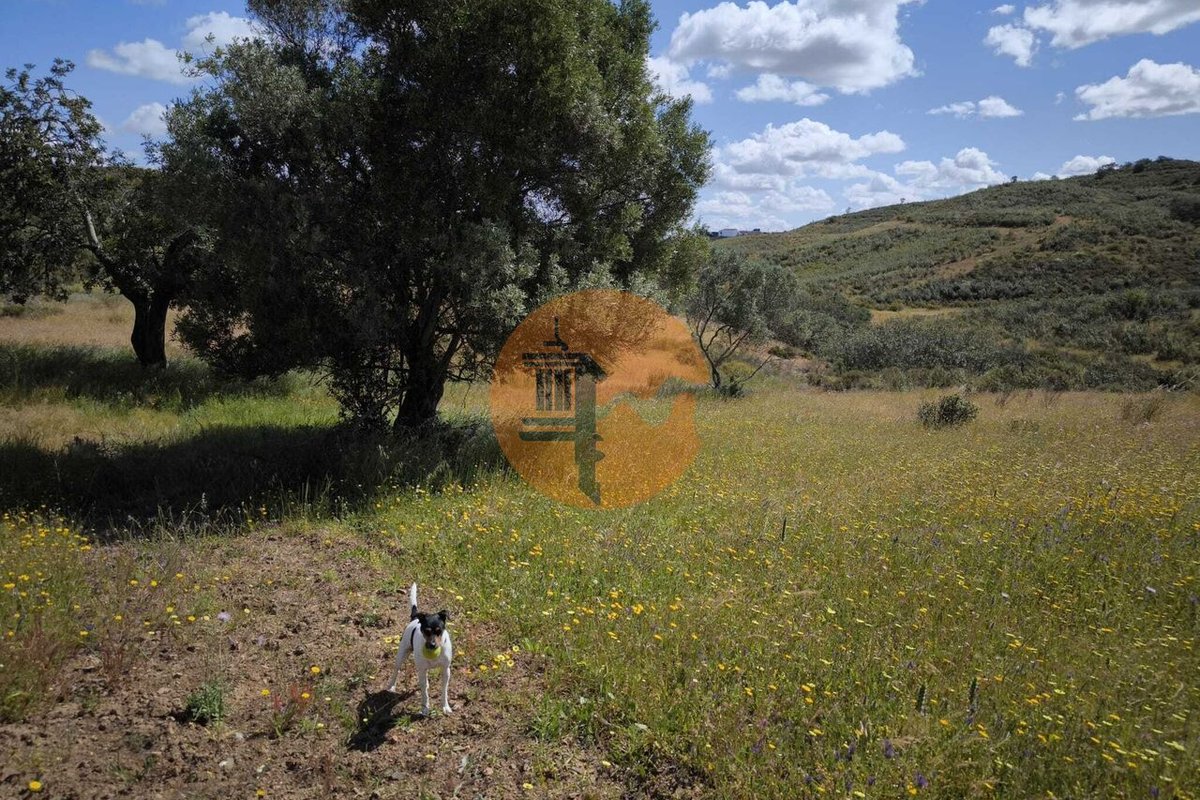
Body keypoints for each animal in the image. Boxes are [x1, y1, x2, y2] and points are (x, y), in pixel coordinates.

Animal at [386, 583, 453, 715]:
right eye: (426, 631)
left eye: (439, 631)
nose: (432, 645)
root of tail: (415, 619)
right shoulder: (421, 670)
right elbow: (424, 692)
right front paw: (425, 708)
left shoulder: (445, 670)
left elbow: (444, 690)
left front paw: (445, 706)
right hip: (402, 654)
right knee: (396, 670)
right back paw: (391, 686)